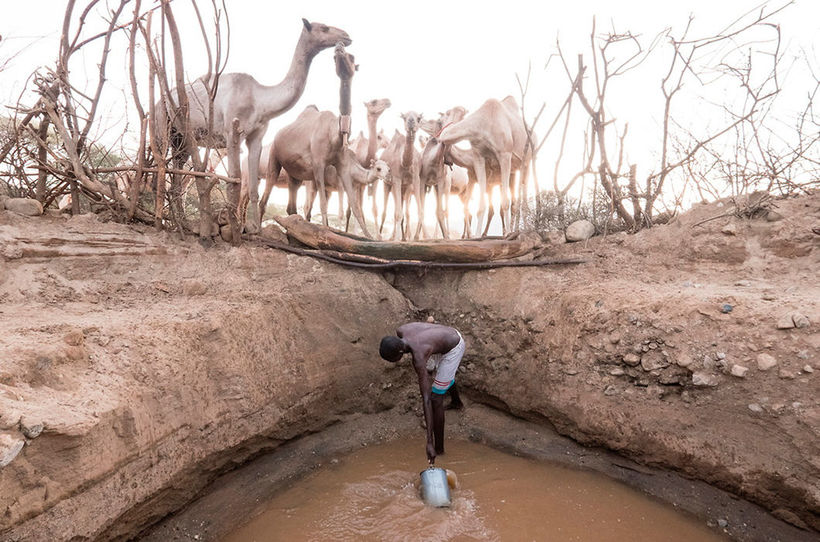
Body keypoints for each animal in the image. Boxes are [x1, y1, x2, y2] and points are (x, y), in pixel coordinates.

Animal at [162, 19, 350, 243]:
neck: (259, 100)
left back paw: (180, 221)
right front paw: (235, 229)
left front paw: (255, 231)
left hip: (182, 137)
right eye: (324, 28)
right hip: (163, 120)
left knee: (177, 172)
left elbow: (253, 188)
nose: (346, 36)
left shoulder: (256, 137)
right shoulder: (232, 133)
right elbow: (233, 181)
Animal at [262, 105, 390, 237]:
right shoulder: (336, 181)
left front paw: (368, 236)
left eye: (388, 169)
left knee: (293, 203)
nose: (387, 177)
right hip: (284, 163)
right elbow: (338, 211)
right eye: (378, 168)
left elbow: (356, 209)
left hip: (296, 174)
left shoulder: (352, 182)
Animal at [436, 96, 532, 237]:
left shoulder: (504, 154)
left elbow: (505, 202)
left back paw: (523, 230)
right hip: (514, 170)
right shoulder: (478, 157)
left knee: (523, 194)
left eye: (442, 118)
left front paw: (507, 233)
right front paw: (476, 235)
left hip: (527, 160)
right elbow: (481, 206)